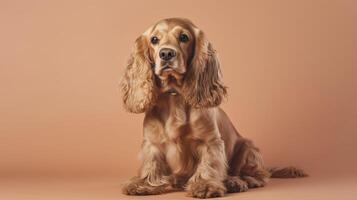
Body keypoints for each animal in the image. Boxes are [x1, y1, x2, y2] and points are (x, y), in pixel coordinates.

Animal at [120, 17, 306, 198]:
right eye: (154, 39)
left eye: (184, 37)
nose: (166, 53)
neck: (175, 95)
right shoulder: (152, 144)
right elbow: (151, 164)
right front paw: (144, 184)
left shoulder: (210, 141)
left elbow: (209, 164)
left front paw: (205, 185)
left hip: (248, 148)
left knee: (258, 175)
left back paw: (236, 182)